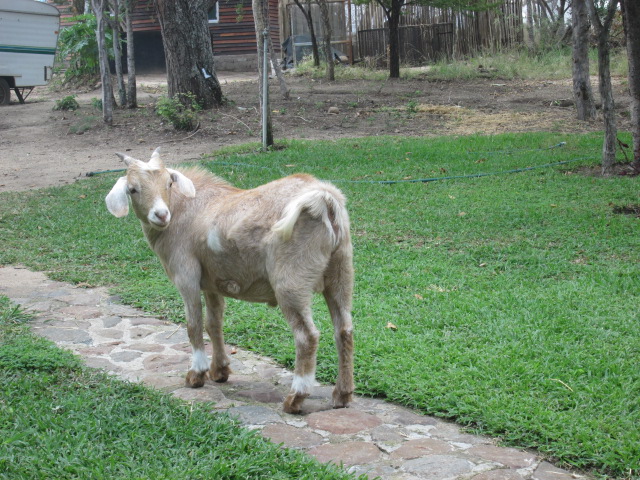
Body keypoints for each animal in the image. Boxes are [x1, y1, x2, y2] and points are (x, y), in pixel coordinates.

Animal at [106, 148, 356, 414]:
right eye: (133, 189)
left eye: (168, 183)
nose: (161, 215)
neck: (184, 208)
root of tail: (324, 198)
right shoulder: (212, 282)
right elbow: (213, 323)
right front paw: (219, 370)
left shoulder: (186, 274)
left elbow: (193, 324)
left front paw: (196, 374)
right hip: (341, 271)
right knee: (344, 329)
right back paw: (342, 394)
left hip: (291, 280)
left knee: (306, 336)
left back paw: (295, 398)